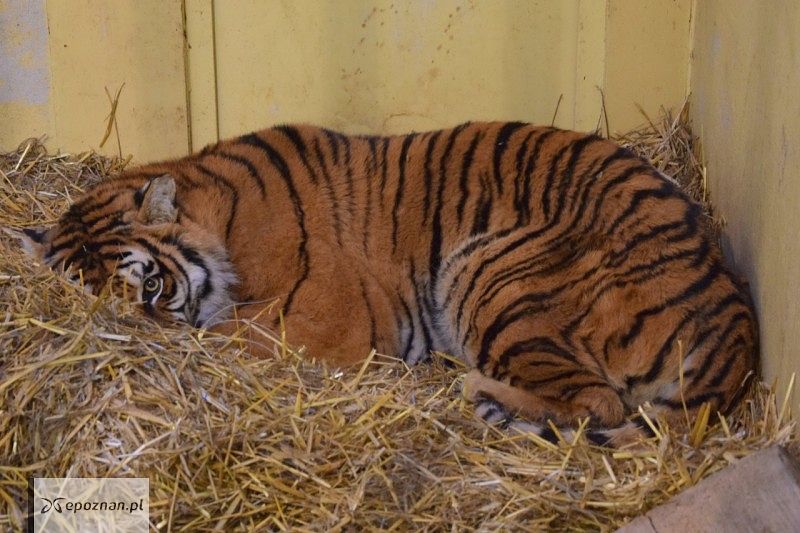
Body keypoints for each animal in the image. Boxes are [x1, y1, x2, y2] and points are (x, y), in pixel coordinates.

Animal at [17, 121, 756, 444]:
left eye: (148, 288)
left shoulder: (316, 322)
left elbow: (226, 340)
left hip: (490, 270)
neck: (218, 213)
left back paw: (484, 395)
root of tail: (736, 337)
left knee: (601, 401)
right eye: (79, 302)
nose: (133, 354)